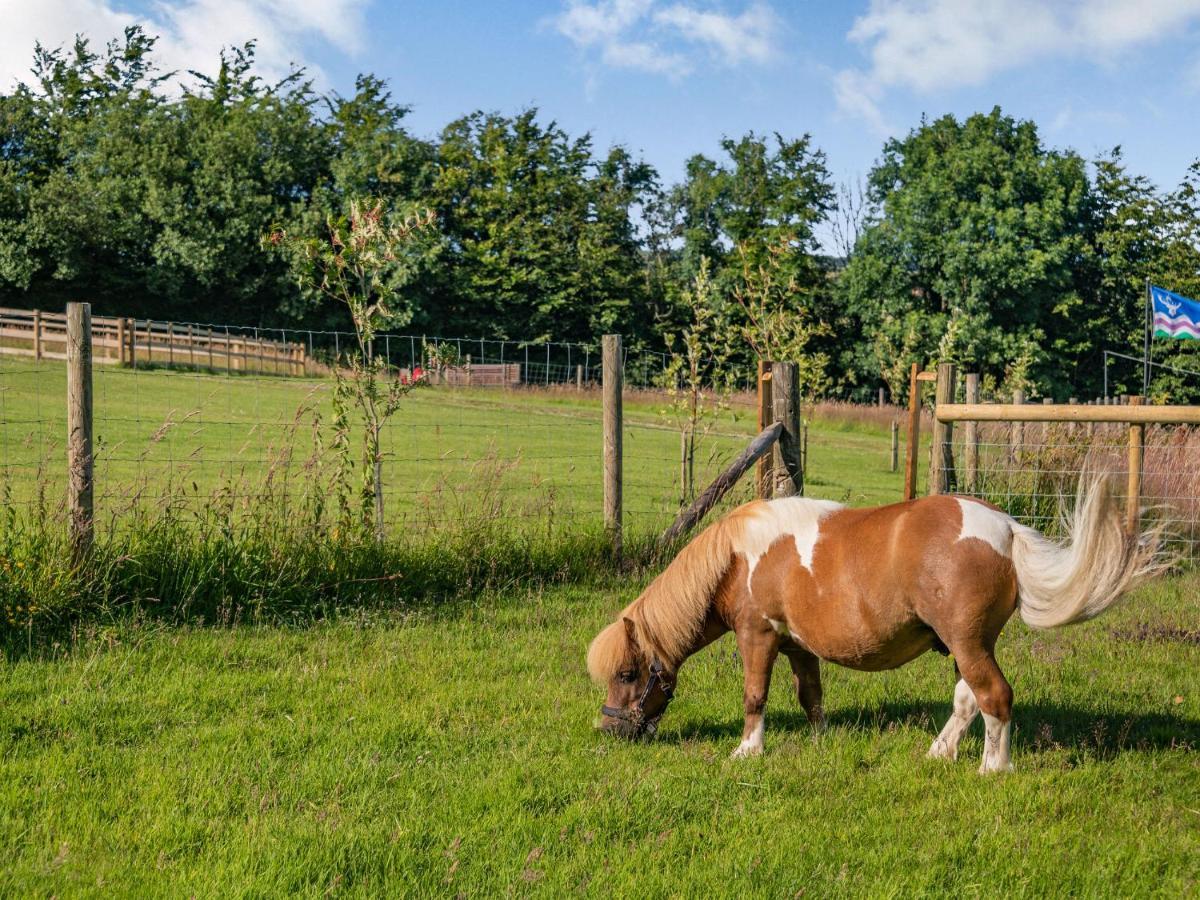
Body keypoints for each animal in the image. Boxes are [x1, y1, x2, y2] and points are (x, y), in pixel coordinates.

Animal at [590, 482, 1161, 772]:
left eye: (626, 674)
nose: (609, 730)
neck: (737, 558)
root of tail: (1005, 527)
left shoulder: (759, 637)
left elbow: (755, 696)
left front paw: (747, 750)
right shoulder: (799, 647)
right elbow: (811, 695)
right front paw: (820, 738)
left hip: (969, 644)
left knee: (994, 697)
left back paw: (992, 768)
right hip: (966, 646)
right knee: (967, 700)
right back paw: (940, 752)